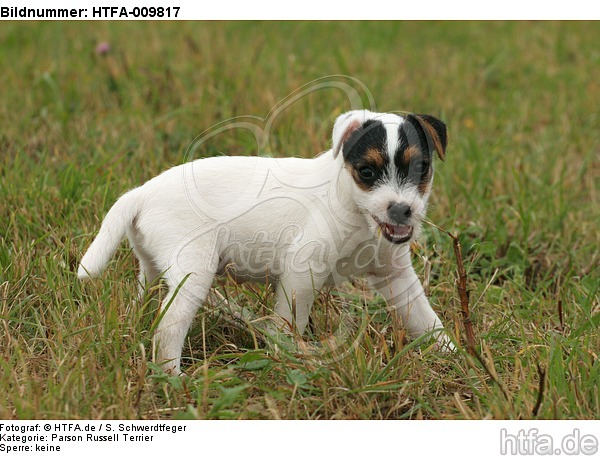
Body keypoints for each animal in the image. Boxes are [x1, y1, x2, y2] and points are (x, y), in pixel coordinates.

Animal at [78, 110, 454, 374]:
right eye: (366, 172)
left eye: (421, 168)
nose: (401, 210)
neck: (356, 211)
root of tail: (141, 193)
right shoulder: (301, 273)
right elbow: (291, 324)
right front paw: (291, 359)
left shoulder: (396, 276)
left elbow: (427, 320)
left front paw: (455, 356)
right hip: (193, 274)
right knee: (169, 328)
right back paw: (173, 378)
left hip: (153, 268)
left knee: (144, 299)